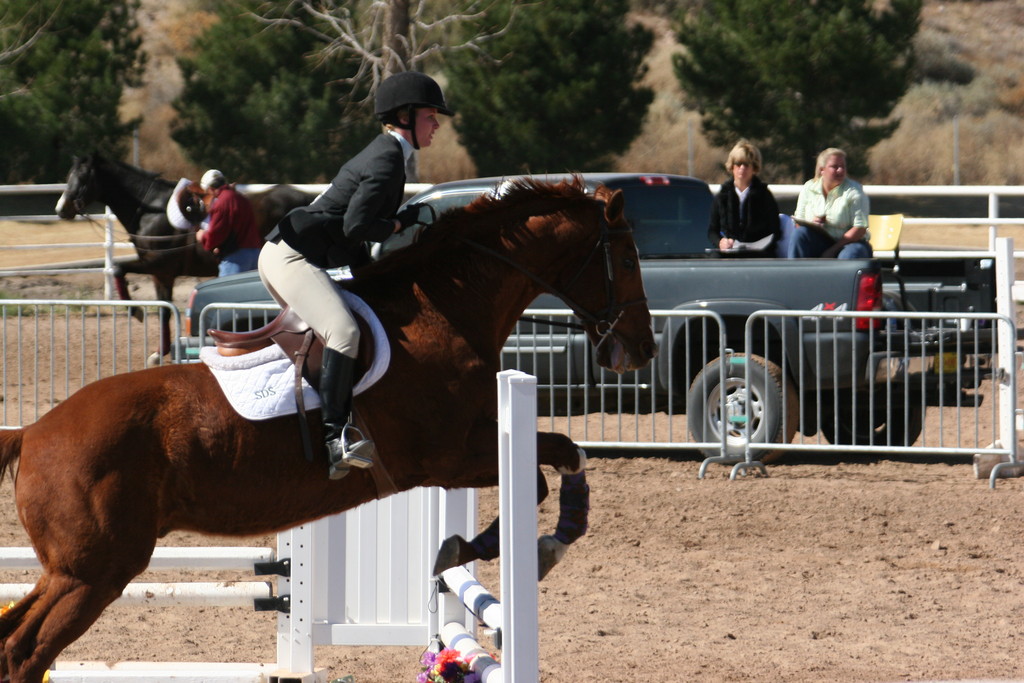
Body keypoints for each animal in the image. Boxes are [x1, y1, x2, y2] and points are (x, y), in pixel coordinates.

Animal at [0, 178, 655, 683]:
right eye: (626, 260)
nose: (641, 350)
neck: (444, 312)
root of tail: (33, 433)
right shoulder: (447, 457)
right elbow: (546, 468)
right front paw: (513, 548)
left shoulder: (467, 449)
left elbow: (563, 454)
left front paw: (517, 545)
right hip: (93, 572)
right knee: (25, 650)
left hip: (71, 571)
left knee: (13, 637)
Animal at [55, 154, 311, 358]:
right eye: (69, 175)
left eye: (83, 177)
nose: (61, 209)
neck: (151, 210)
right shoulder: (161, 275)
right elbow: (164, 310)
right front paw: (161, 352)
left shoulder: (157, 265)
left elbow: (119, 269)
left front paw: (136, 312)